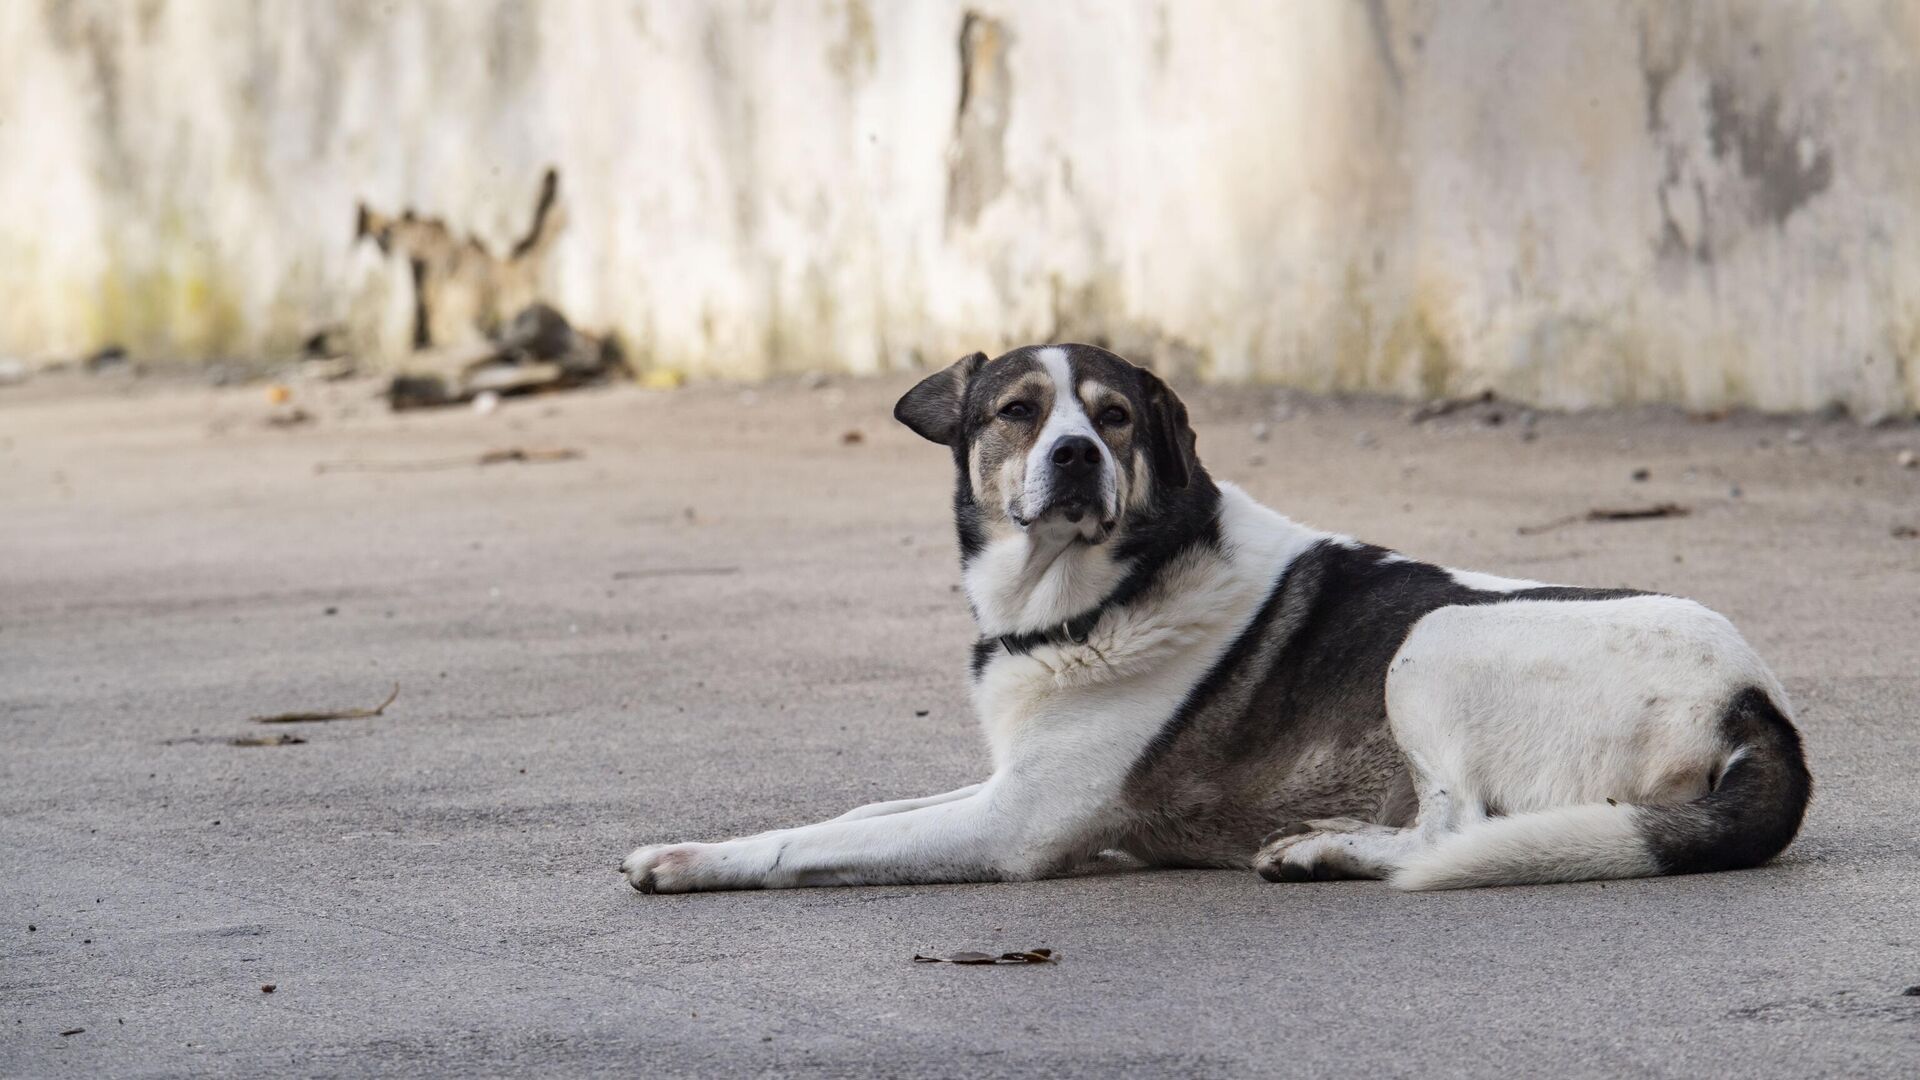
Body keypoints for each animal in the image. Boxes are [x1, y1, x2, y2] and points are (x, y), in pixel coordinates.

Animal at [622, 344, 1809, 892]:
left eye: (1113, 417)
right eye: (1018, 411)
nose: (1075, 456)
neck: (1101, 594)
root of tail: (1757, 705)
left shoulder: (1015, 826)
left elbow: (813, 843)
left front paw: (693, 860)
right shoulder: (1011, 782)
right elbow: (865, 809)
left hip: (1433, 642)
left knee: (1457, 828)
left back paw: (1332, 850)